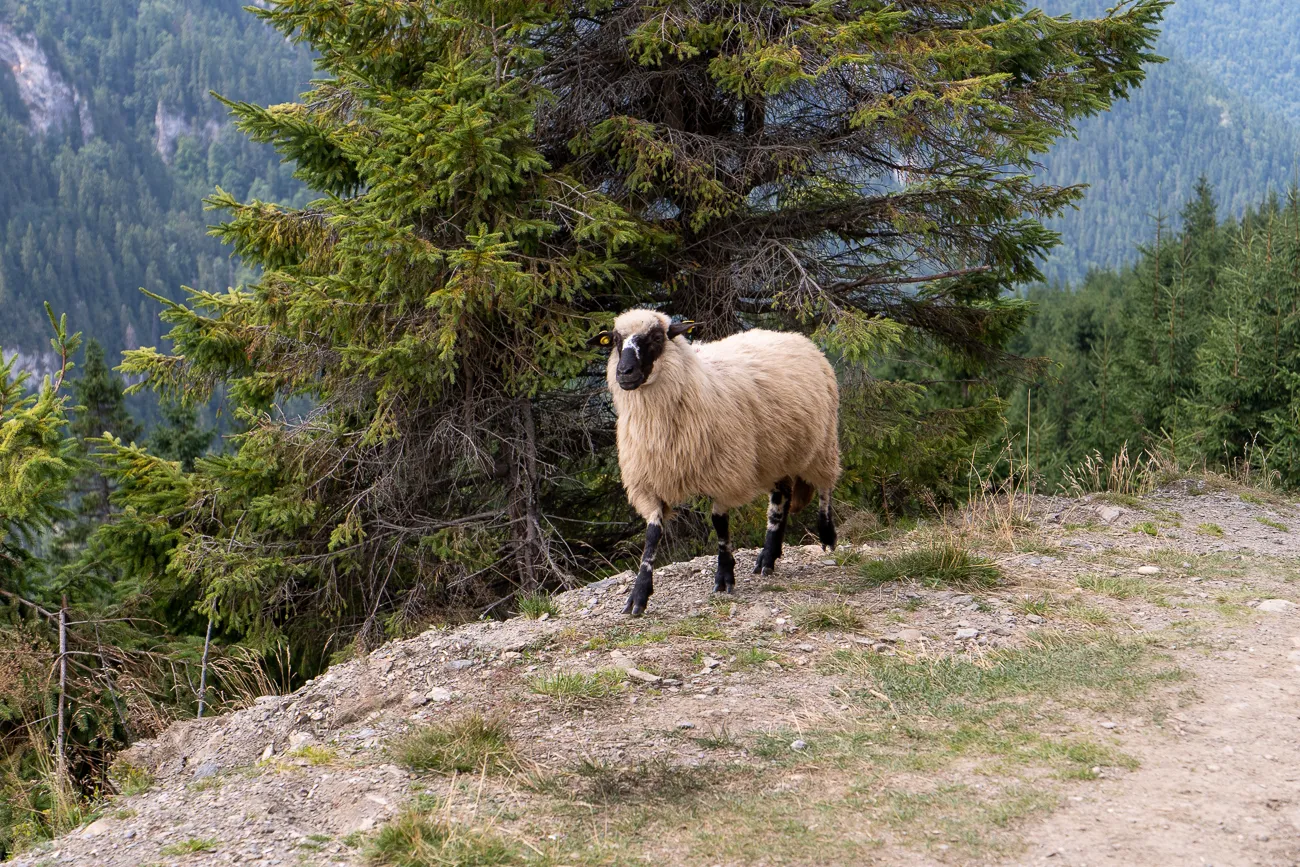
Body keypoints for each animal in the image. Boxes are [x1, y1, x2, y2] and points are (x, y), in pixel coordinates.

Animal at [591, 308, 840, 616]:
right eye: (615, 340)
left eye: (657, 338)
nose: (624, 373)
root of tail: (794, 337)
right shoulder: (649, 480)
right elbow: (652, 537)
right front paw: (638, 596)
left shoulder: (725, 471)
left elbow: (719, 524)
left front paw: (724, 577)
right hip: (775, 453)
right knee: (780, 500)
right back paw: (768, 557)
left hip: (822, 441)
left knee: (825, 487)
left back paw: (826, 535)